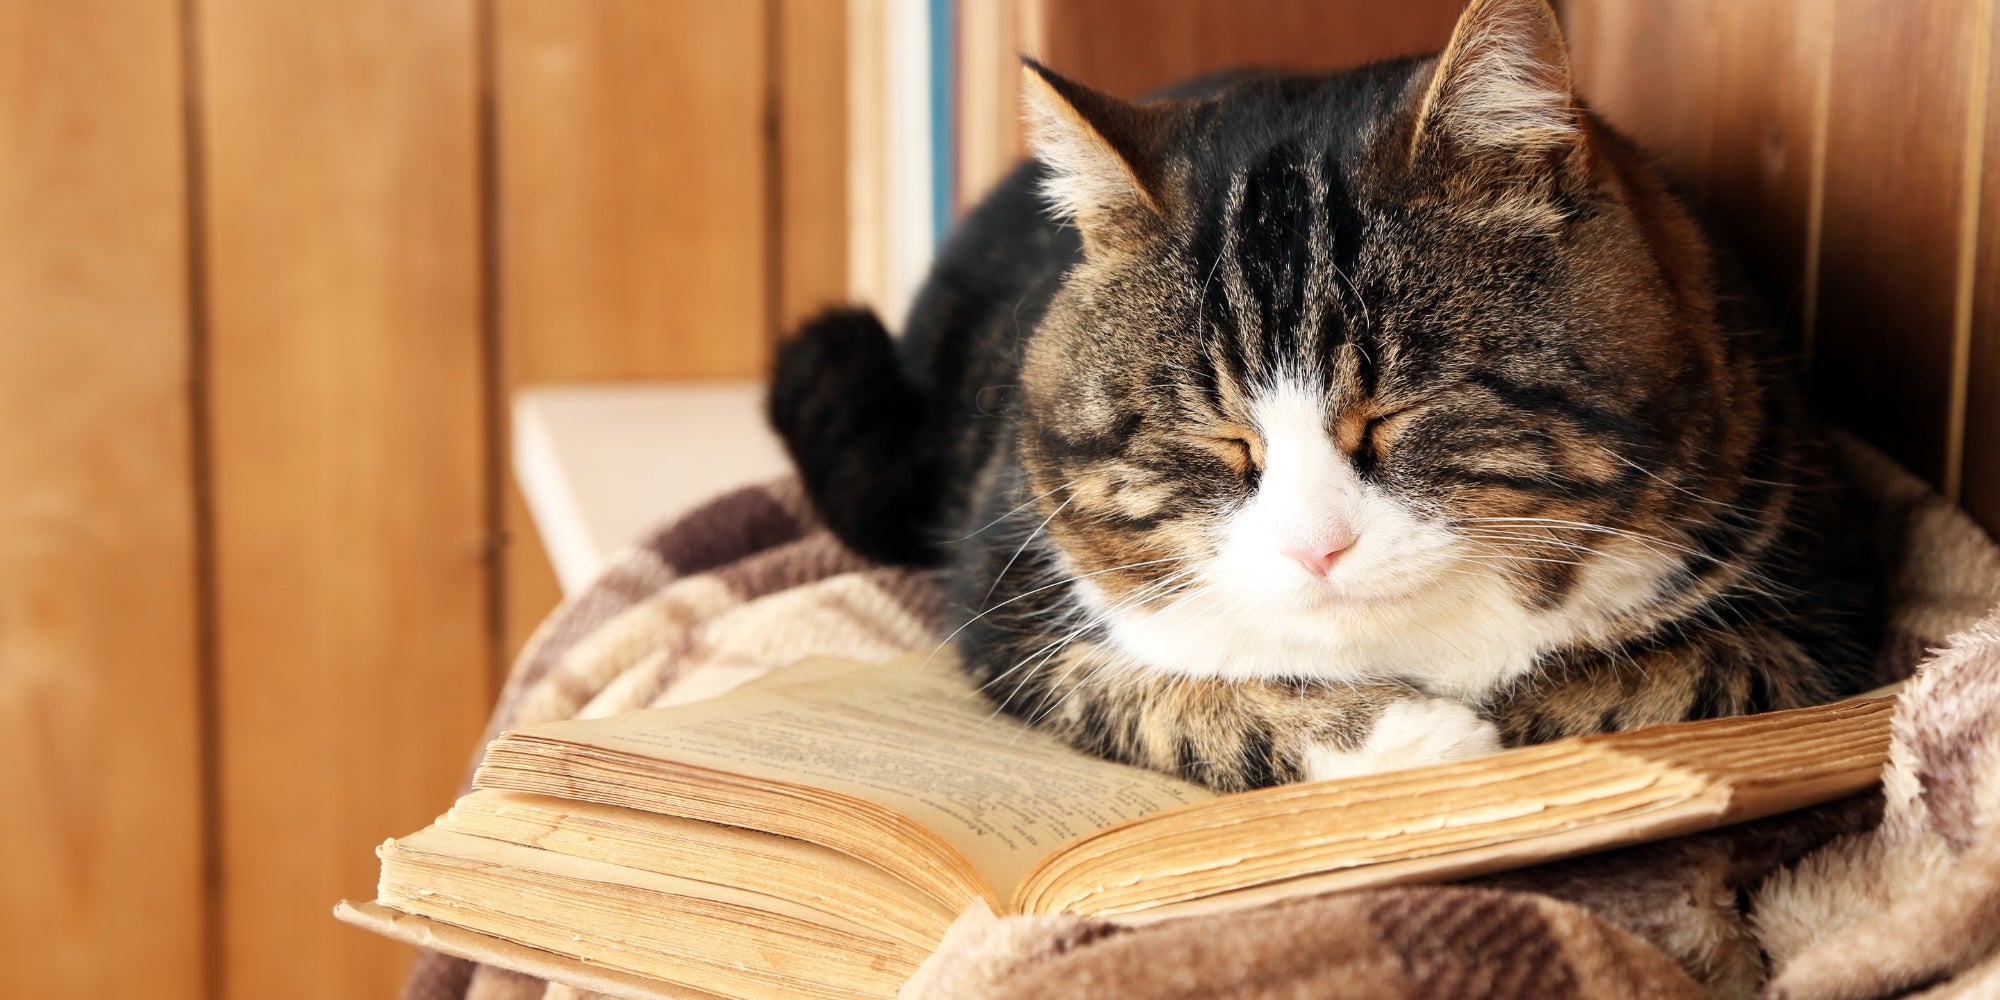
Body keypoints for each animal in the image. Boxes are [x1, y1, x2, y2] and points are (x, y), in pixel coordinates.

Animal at [760, 0, 1872, 792]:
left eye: (1393, 414)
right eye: (1220, 440)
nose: (1314, 550)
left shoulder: (1815, 601)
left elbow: (1671, 682)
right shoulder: (1008, 597)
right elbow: (1150, 691)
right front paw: (1403, 733)